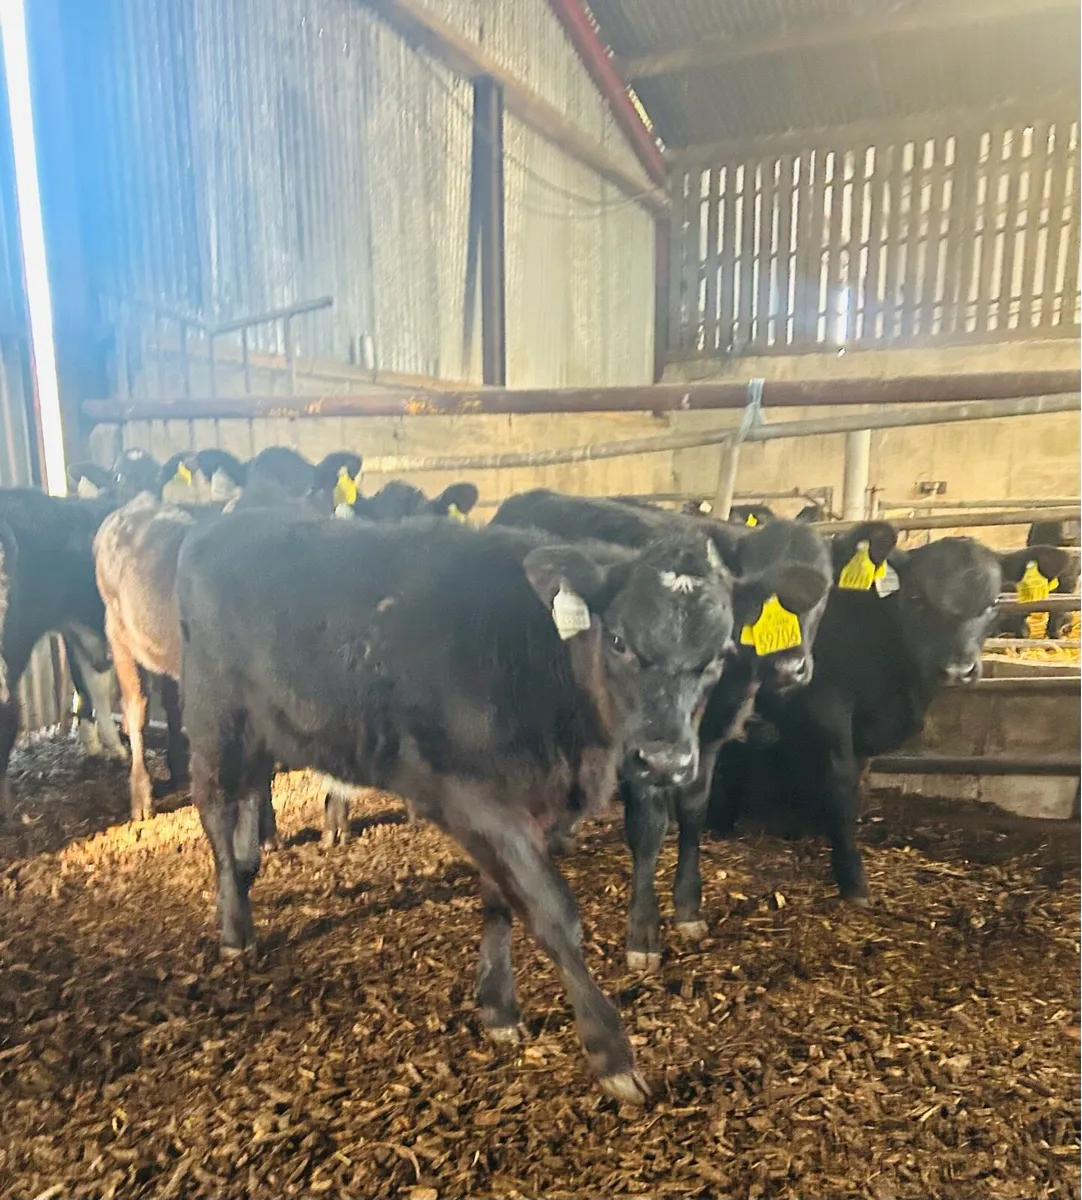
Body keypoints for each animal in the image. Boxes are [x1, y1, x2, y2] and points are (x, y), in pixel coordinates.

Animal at [175, 512, 751, 1101]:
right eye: (618, 640)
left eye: (717, 658)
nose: (664, 760)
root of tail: (230, 519)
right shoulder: (477, 799)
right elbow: (553, 914)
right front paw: (610, 1053)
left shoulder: (517, 808)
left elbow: (500, 900)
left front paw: (498, 1008)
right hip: (214, 718)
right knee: (215, 813)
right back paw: (234, 931)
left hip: (263, 733)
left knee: (247, 805)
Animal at [491, 489, 835, 969]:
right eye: (618, 640)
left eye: (824, 593)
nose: (788, 666)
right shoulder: (639, 751)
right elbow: (647, 827)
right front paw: (643, 934)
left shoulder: (705, 742)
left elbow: (695, 810)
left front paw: (689, 908)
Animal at [706, 536, 1071, 902]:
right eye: (915, 597)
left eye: (994, 601)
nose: (957, 670)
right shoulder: (829, 707)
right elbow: (841, 783)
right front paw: (851, 877)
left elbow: (857, 782)